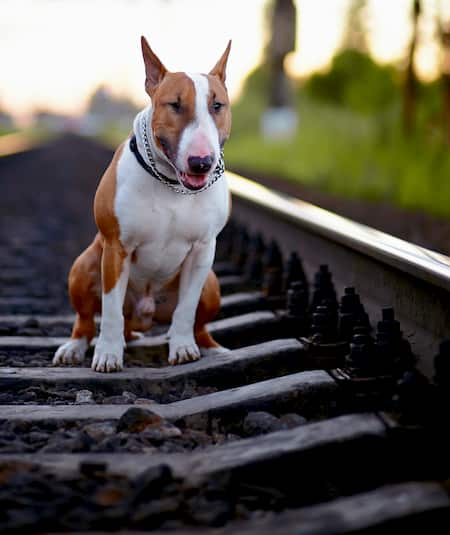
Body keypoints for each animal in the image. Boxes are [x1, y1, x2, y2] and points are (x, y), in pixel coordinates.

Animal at [52, 37, 232, 372]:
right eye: (175, 105)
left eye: (217, 106)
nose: (201, 162)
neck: (172, 184)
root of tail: (144, 317)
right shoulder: (116, 247)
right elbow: (110, 310)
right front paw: (108, 354)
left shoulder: (203, 249)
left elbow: (186, 309)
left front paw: (183, 347)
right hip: (83, 266)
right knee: (88, 320)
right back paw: (75, 347)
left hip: (212, 284)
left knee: (198, 323)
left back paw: (209, 347)